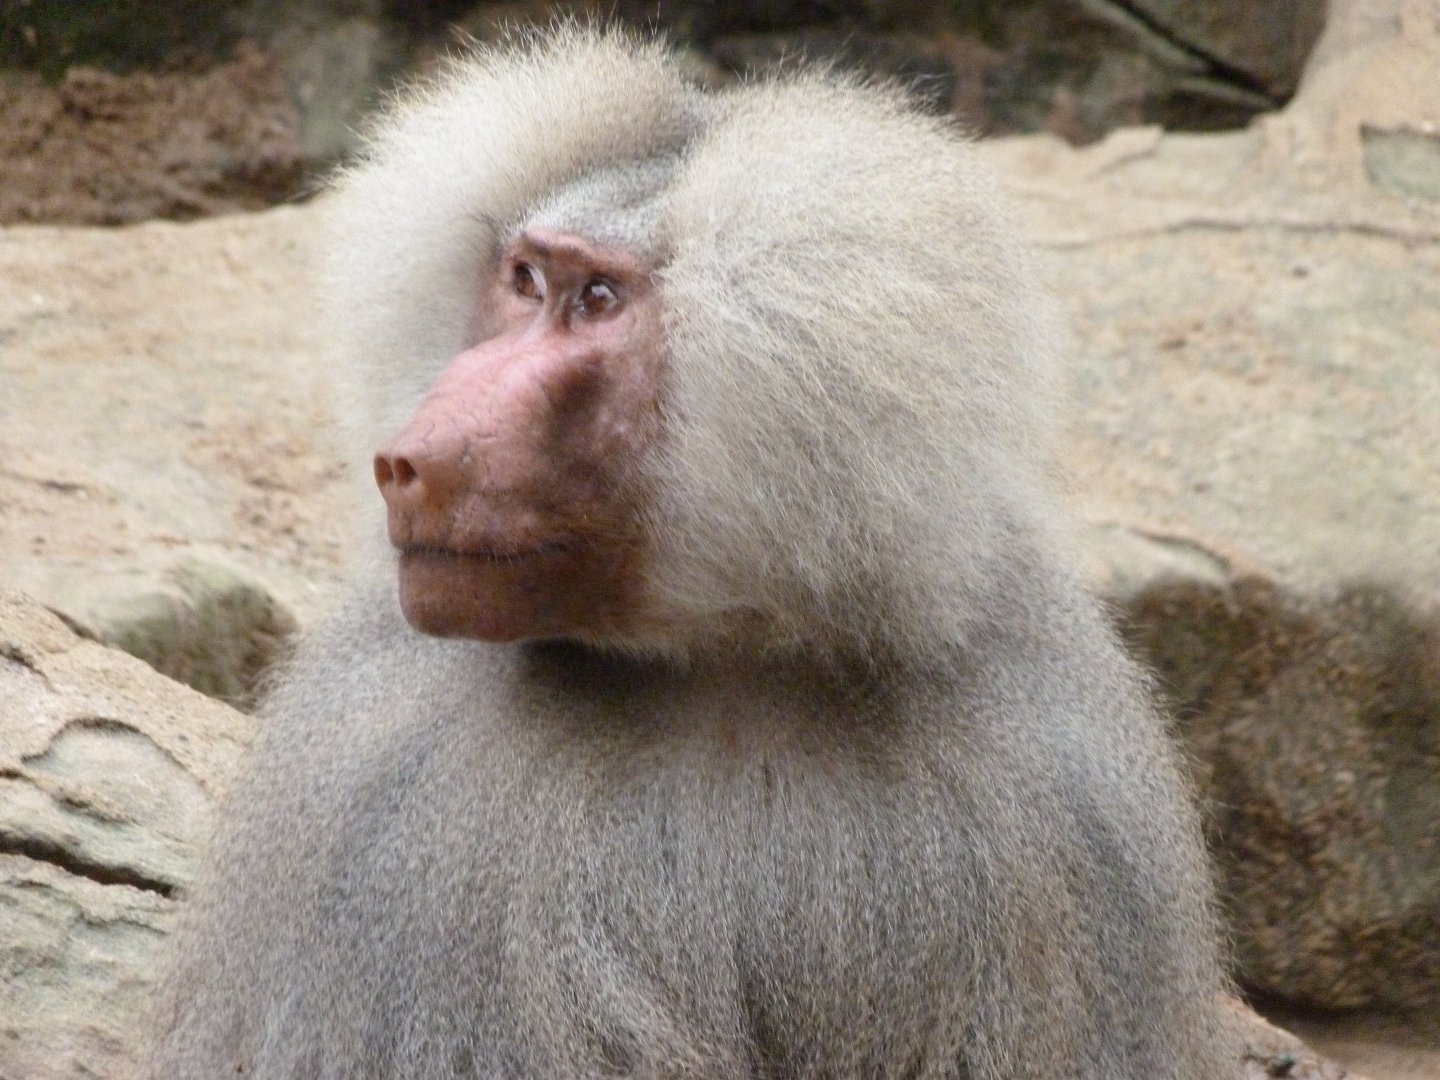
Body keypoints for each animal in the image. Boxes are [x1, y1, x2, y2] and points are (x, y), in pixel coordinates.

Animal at [142, 25, 1233, 1080]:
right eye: (525, 280)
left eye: (597, 300)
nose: (410, 460)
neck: (722, 657)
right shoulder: (387, 805)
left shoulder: (1060, 811)